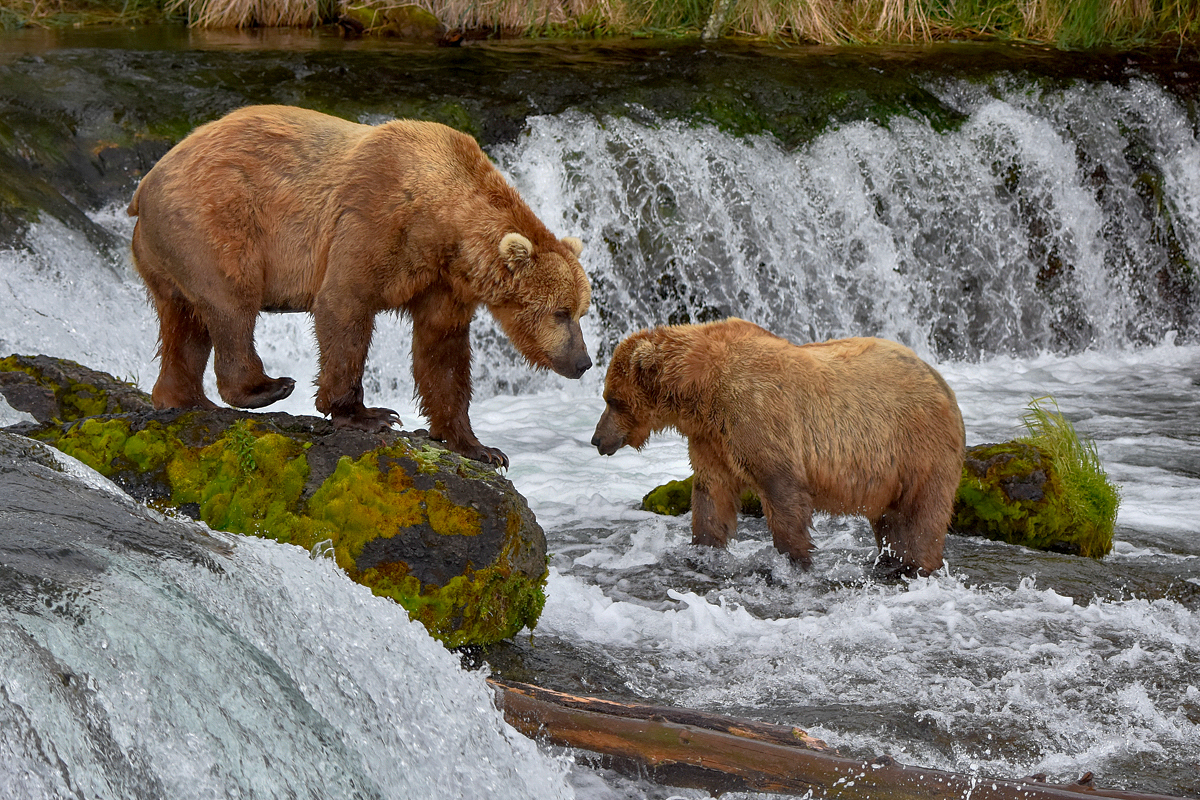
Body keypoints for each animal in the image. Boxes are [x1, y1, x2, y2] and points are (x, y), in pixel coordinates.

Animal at [129, 106, 592, 470]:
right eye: (560, 312)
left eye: (580, 310)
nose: (584, 362)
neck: (443, 224)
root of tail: (145, 183)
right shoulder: (374, 220)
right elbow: (344, 307)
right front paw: (367, 414)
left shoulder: (443, 281)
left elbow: (442, 352)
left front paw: (480, 447)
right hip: (215, 221)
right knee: (231, 303)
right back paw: (267, 386)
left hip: (167, 253)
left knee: (185, 325)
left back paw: (183, 398)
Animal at [590, 319, 964, 575]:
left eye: (611, 399)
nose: (597, 439)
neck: (700, 389)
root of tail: (943, 383)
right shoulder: (711, 439)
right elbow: (712, 493)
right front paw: (704, 548)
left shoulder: (757, 413)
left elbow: (782, 490)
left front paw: (796, 559)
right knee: (890, 522)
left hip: (917, 448)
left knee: (922, 518)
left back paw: (917, 564)